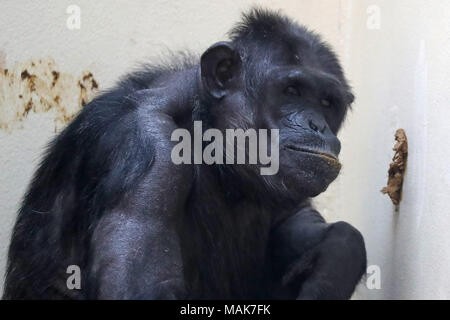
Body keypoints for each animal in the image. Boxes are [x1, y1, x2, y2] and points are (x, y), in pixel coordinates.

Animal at [2, 7, 366, 298]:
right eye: (292, 90)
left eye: (327, 102)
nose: (317, 124)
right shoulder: (148, 153)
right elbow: (141, 287)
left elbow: (299, 220)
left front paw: (337, 258)